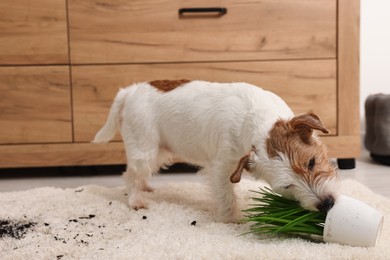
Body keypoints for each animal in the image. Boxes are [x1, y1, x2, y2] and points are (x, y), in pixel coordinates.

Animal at [93, 80, 338, 222]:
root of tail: (130, 91)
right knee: (131, 174)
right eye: (287, 186)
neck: (256, 118)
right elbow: (226, 195)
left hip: (160, 150)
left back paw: (145, 187)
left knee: (142, 173)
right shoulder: (222, 166)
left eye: (311, 162)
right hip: (144, 148)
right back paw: (136, 199)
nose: (327, 204)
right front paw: (232, 220)